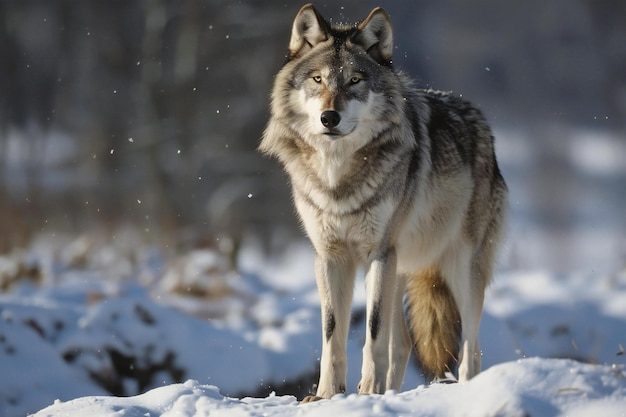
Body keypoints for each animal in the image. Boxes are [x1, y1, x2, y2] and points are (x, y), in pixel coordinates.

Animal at [258, 3, 508, 400]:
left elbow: (372, 330)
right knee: (403, 343)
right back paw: (388, 395)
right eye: (318, 80)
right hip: (400, 268)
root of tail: (479, 118)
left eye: (355, 80)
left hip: (459, 269)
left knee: (471, 349)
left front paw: (366, 391)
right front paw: (328, 395)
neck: (338, 176)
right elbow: (333, 333)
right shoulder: (330, 257)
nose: (329, 117)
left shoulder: (378, 253)